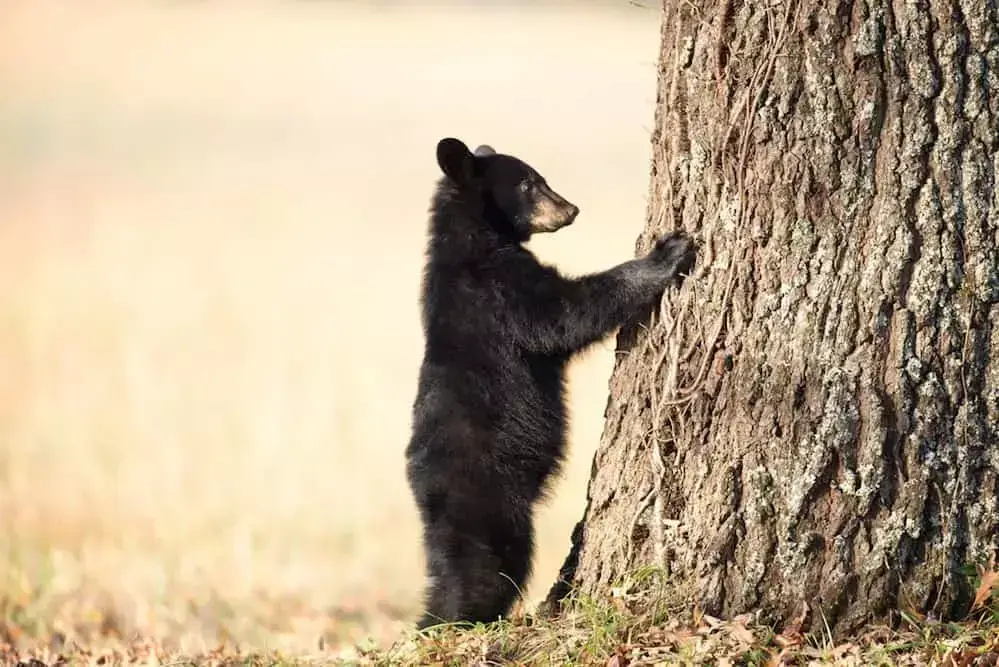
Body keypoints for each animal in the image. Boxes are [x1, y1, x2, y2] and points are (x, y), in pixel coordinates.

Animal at [405, 137, 697, 630]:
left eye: (540, 178)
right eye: (528, 184)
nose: (571, 209)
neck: (474, 242)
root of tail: (425, 491)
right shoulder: (500, 292)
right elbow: (565, 315)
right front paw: (666, 253)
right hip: (489, 498)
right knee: (487, 567)